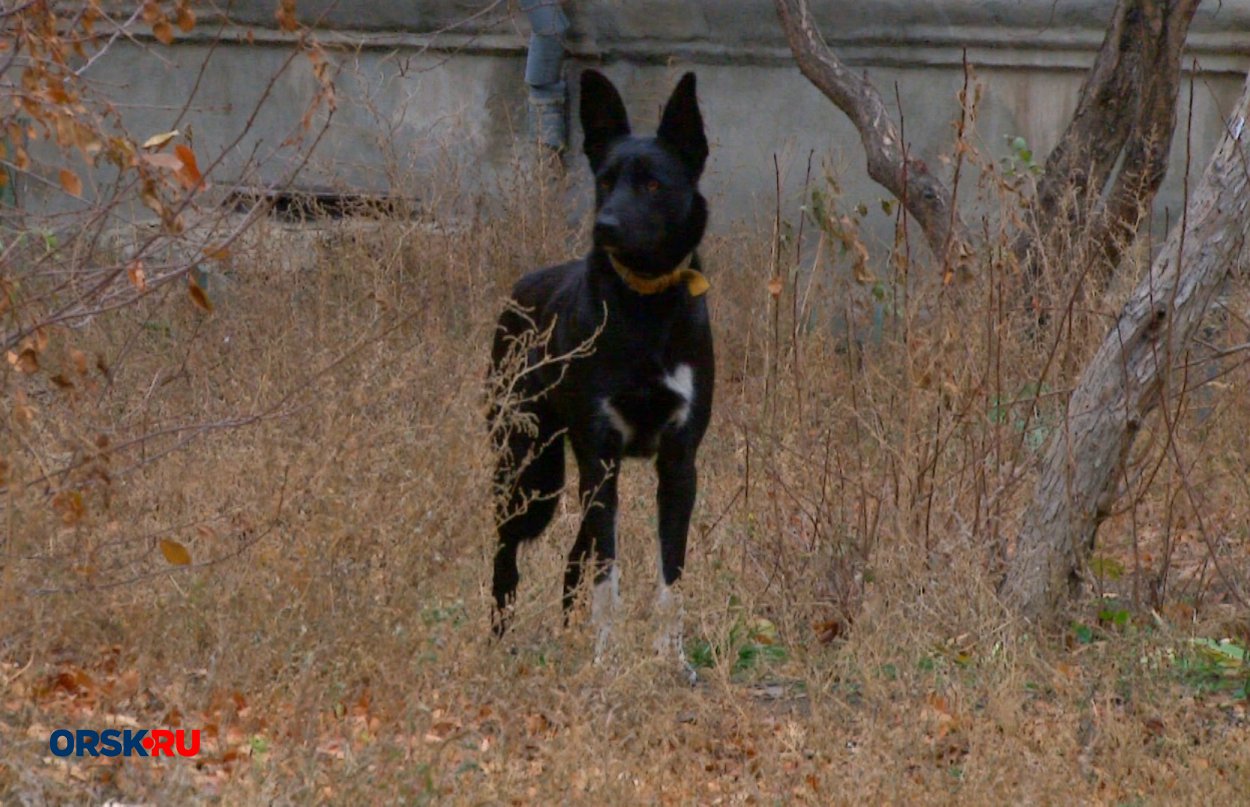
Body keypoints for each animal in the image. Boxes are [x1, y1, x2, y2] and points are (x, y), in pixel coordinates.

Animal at [487, 71, 715, 664]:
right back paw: (498, 637)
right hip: (529, 470)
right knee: (506, 554)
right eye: (605, 181)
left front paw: (671, 659)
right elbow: (607, 577)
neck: (645, 307)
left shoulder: (679, 463)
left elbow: (670, 576)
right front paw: (606, 660)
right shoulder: (601, 453)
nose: (605, 225)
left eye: (654, 184)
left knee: (575, 555)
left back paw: (569, 630)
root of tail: (519, 291)